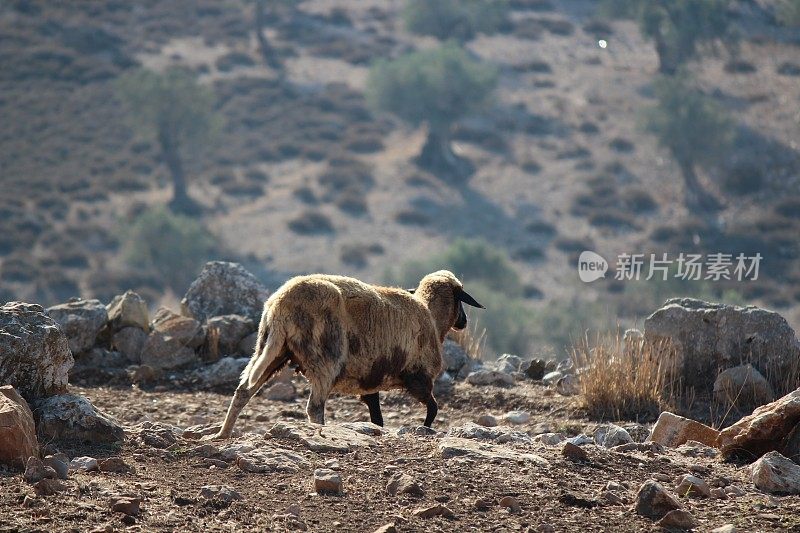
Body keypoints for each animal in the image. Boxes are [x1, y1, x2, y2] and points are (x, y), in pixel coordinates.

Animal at [212, 270, 484, 436]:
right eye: (460, 299)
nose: (464, 322)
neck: (431, 316)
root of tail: (280, 306)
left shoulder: (371, 381)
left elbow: (377, 419)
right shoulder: (419, 378)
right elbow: (433, 409)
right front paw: (425, 429)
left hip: (269, 349)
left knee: (243, 390)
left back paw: (223, 434)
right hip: (325, 358)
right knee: (314, 407)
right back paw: (319, 431)